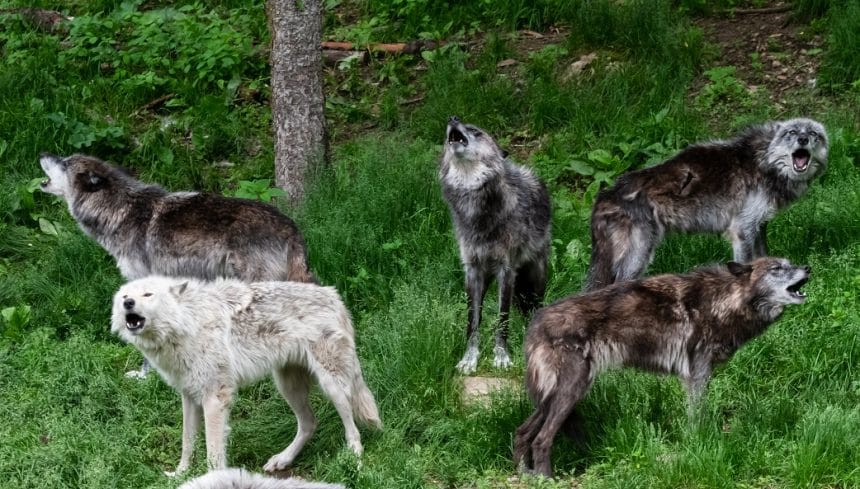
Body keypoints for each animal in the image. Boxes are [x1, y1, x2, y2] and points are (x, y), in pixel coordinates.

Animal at [110, 276, 380, 474]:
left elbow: (213, 451)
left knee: (351, 428)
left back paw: (353, 462)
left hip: (332, 386)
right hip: (287, 386)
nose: (128, 303)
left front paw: (213, 478)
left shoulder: (215, 398)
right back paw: (282, 459)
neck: (188, 323)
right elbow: (187, 443)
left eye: (148, 295)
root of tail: (334, 296)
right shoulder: (189, 396)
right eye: (125, 296)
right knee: (309, 423)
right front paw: (180, 474)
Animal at [440, 117, 556, 374]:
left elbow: (503, 317)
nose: (452, 118)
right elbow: (472, 321)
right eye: (444, 139)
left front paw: (501, 356)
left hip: (534, 278)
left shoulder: (507, 269)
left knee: (533, 307)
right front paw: (469, 358)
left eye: (475, 131)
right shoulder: (472, 270)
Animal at [512, 258, 808, 474]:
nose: (808, 268)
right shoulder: (697, 374)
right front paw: (699, 444)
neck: (724, 301)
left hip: (558, 395)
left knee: (522, 432)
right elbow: (697, 417)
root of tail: (535, 322)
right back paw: (546, 478)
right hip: (571, 390)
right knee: (541, 439)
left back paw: (524, 474)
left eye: (790, 262)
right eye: (777, 268)